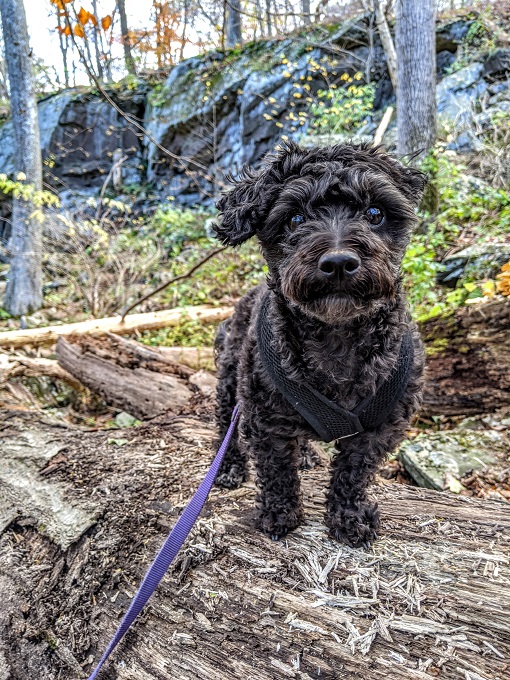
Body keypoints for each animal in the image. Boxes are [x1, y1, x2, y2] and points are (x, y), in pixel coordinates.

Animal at [213, 143, 424, 548]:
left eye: (375, 213)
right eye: (295, 219)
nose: (339, 262)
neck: (337, 336)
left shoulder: (381, 427)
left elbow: (354, 472)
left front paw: (349, 518)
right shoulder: (263, 419)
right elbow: (276, 470)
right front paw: (279, 515)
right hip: (231, 382)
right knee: (224, 429)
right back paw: (229, 467)